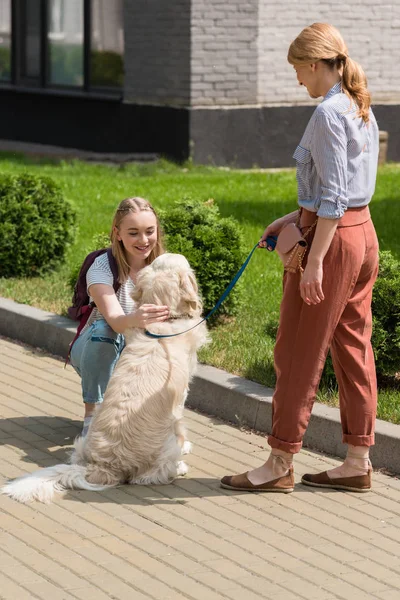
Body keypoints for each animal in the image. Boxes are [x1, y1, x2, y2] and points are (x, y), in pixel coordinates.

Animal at [2, 253, 209, 502]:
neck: (161, 323)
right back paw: (179, 467)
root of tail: (105, 465)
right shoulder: (181, 396)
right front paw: (186, 445)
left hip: (82, 443)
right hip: (165, 448)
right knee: (151, 475)